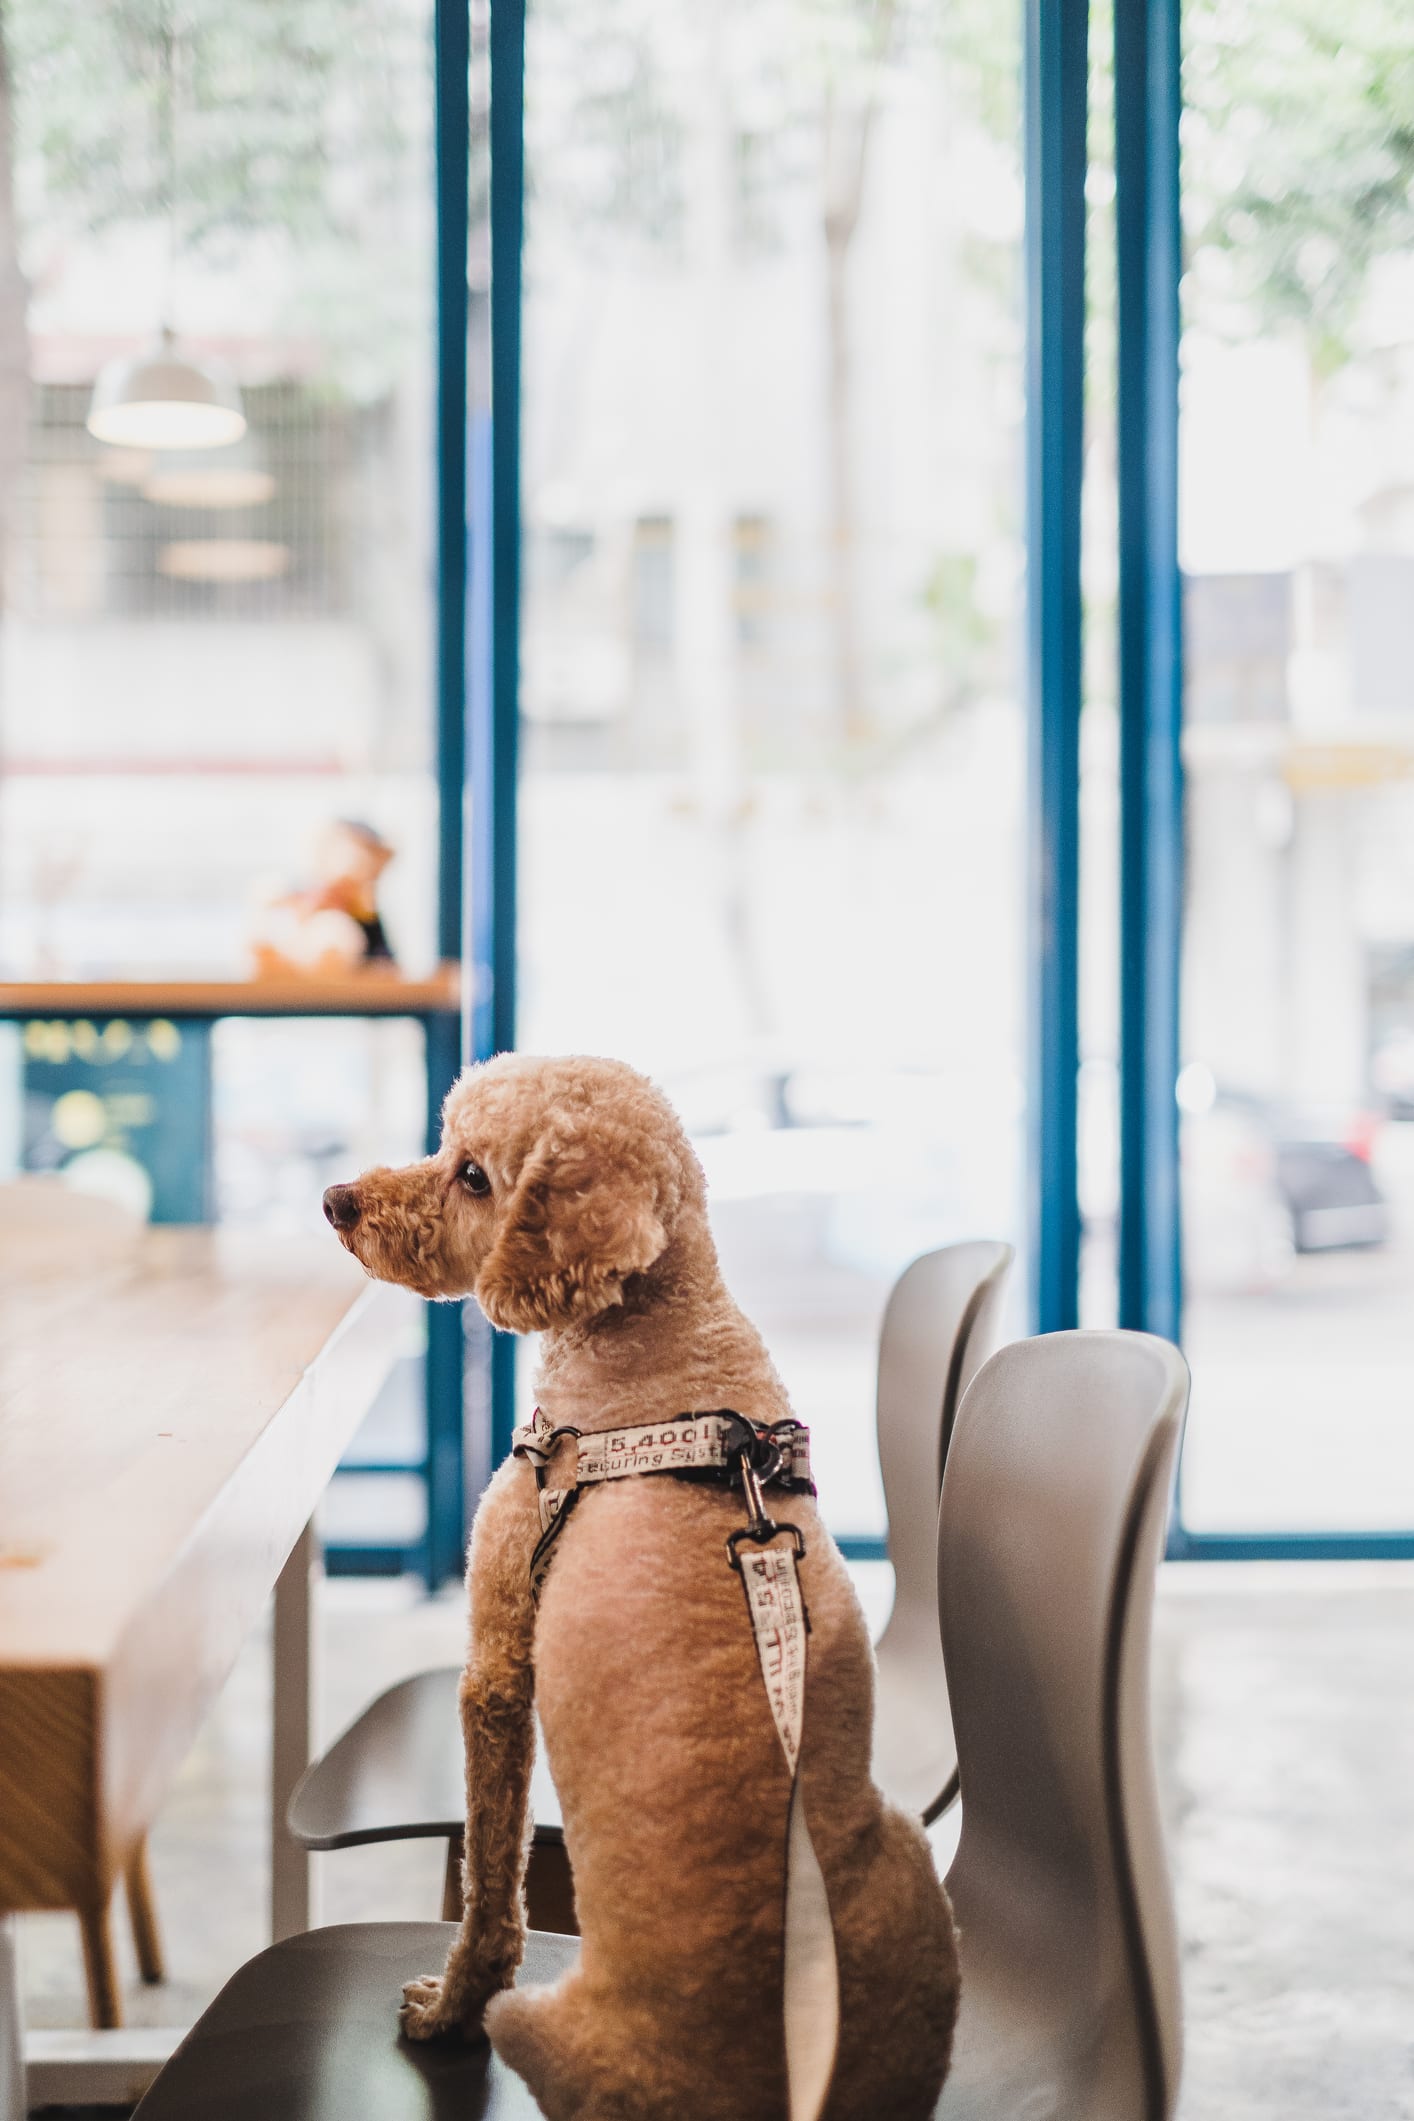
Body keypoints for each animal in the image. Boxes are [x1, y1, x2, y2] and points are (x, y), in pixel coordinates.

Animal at [326, 1052, 958, 2112]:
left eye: (473, 1175)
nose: (336, 1201)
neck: (663, 1340)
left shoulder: (499, 1665)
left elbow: (492, 1880)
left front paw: (445, 2007)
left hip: (547, 2026)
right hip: (911, 1861)